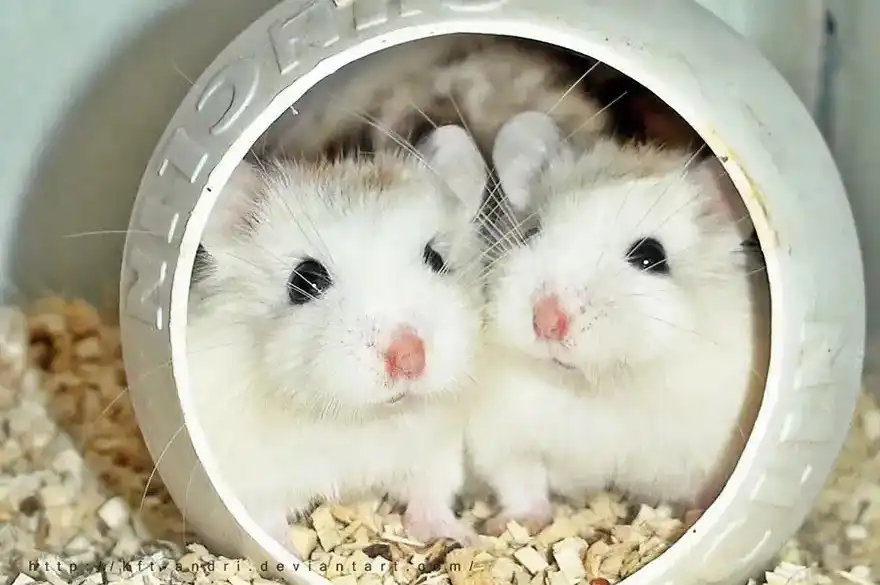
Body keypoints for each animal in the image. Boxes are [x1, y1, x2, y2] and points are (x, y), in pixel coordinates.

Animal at [186, 124, 489, 549]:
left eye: (436, 259)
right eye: (305, 280)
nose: (409, 359)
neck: (357, 417)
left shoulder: (436, 449)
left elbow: (431, 494)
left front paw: (462, 536)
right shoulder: (248, 482)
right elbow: (263, 524)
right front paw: (286, 553)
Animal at [465, 111, 770, 534]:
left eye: (650, 256)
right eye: (531, 232)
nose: (546, 321)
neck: (603, 384)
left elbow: (710, 487)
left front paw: (696, 517)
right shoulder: (501, 432)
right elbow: (520, 479)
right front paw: (511, 524)